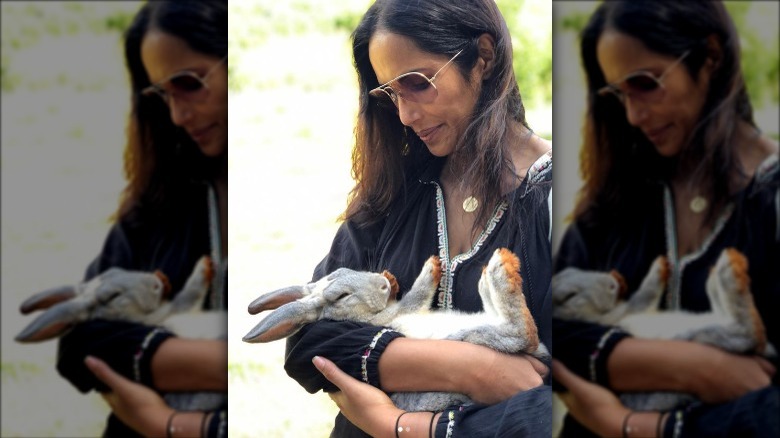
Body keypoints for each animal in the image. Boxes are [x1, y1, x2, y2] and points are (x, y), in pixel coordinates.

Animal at [16, 255, 225, 412]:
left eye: (116, 270)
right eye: (112, 296)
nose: (156, 282)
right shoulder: (177, 309)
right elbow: (190, 293)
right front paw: (204, 265)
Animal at [244, 248, 548, 412]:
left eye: (344, 271)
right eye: (342, 296)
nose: (382, 283)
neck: (370, 315)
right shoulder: (401, 311)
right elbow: (417, 294)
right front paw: (431, 268)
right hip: (473, 335)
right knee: (520, 332)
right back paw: (500, 268)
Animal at [556, 248, 772, 412]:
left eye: (573, 269)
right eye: (569, 296)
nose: (612, 283)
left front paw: (661, 265)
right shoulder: (625, 311)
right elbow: (645, 294)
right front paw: (659, 268)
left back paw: (718, 272)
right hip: (700, 335)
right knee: (746, 331)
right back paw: (729, 269)